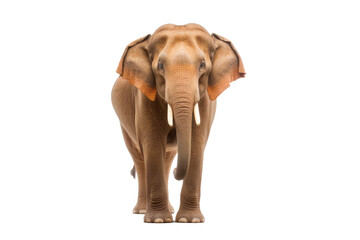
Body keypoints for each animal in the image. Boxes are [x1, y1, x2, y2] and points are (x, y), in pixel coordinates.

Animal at [110, 23, 245, 223]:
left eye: (202, 65)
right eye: (160, 65)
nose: (176, 173)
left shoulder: (205, 101)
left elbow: (196, 145)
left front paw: (189, 220)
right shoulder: (143, 98)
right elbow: (152, 145)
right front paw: (158, 220)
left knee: (167, 158)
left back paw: (170, 208)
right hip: (124, 124)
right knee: (140, 158)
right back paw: (142, 210)